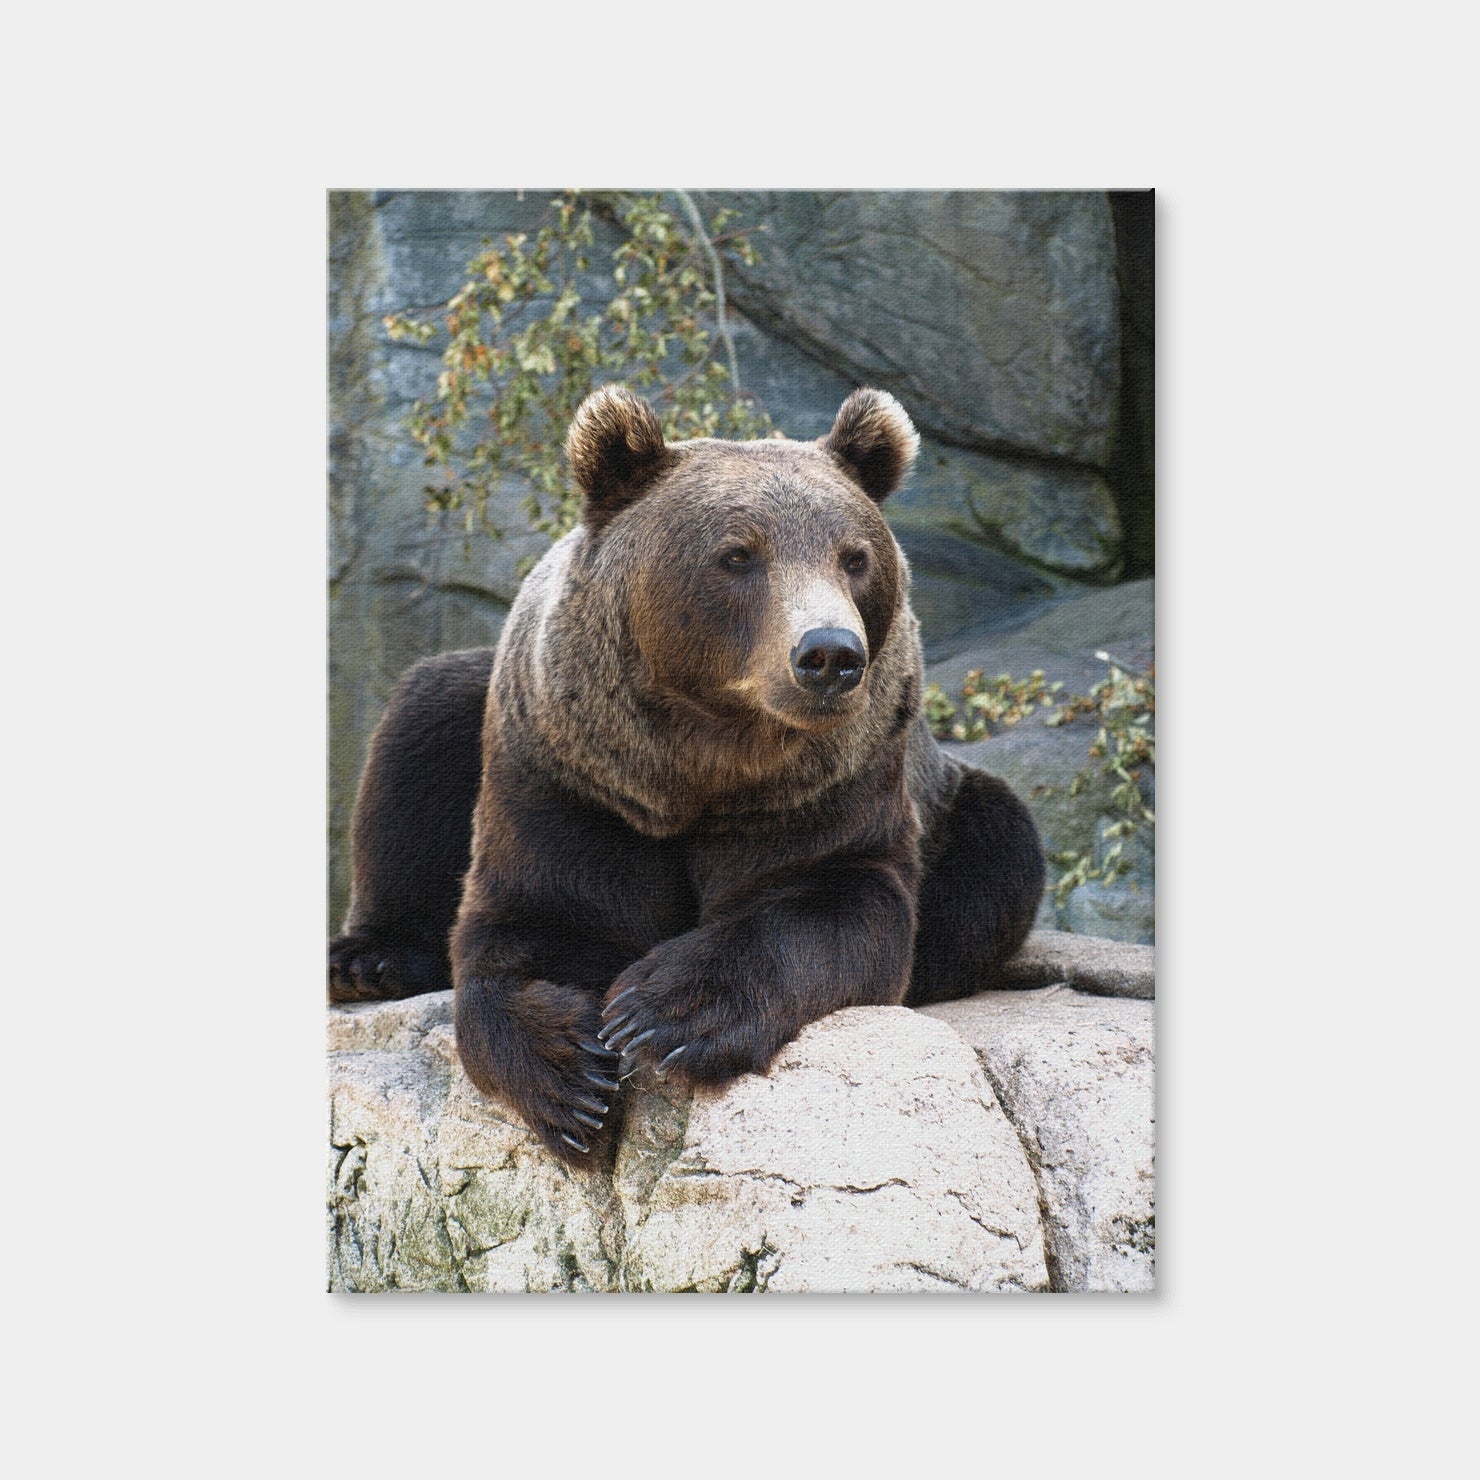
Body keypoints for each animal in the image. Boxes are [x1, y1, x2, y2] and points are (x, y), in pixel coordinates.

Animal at [329, 385, 1046, 1166]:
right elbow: (533, 920)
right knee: (422, 723)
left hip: (951, 805)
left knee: (998, 849)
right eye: (737, 554)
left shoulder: (827, 786)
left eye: (854, 557)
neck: (699, 766)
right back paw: (371, 959)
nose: (829, 653)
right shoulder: (569, 777)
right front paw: (570, 1077)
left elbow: (835, 902)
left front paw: (664, 1012)